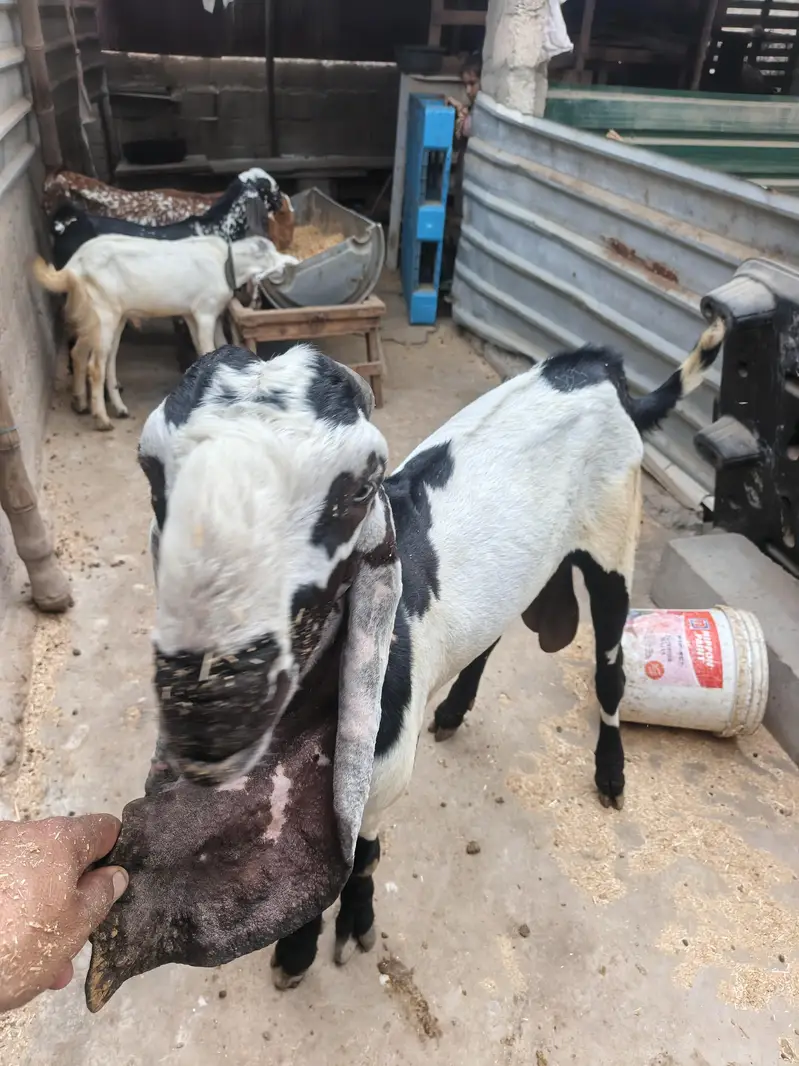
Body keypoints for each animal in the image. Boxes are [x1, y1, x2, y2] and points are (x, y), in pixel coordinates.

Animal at [33, 235, 298, 431]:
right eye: (274, 253)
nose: (293, 261)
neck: (227, 264)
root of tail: (73, 265)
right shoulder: (204, 313)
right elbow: (209, 348)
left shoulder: (195, 315)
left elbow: (216, 347)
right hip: (102, 313)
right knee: (95, 366)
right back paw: (102, 419)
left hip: (105, 316)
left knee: (88, 355)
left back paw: (92, 404)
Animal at [82, 321, 725, 1011]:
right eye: (151, 473)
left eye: (359, 489)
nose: (213, 704)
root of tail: (597, 368)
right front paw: (300, 947)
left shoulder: (381, 780)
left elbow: (357, 860)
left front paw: (338, 932)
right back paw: (453, 710)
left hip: (614, 539)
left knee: (610, 667)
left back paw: (610, 773)